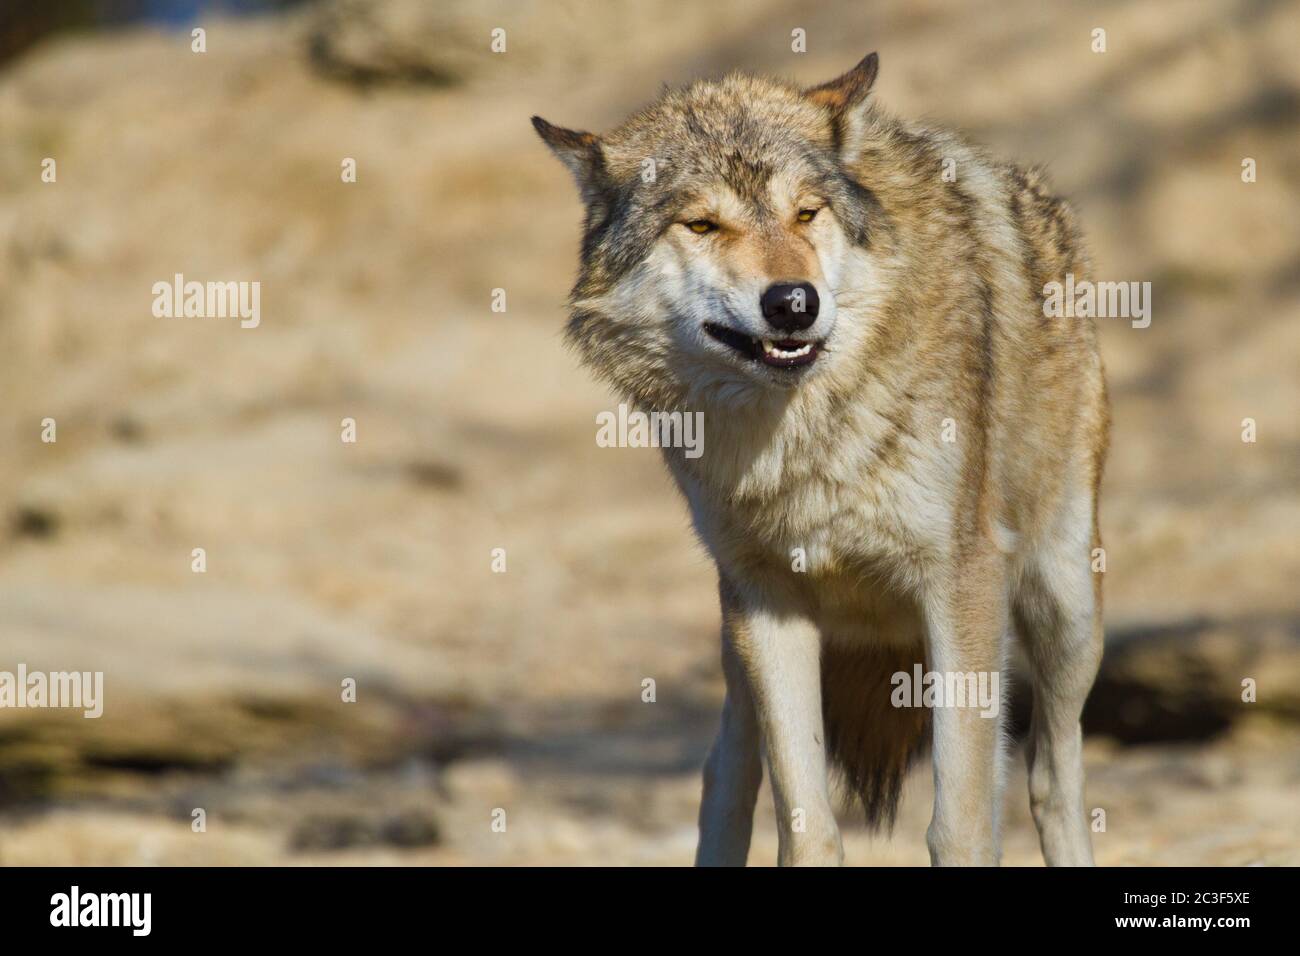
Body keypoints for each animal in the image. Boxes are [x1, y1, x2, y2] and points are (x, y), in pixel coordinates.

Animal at [533, 52, 1109, 866]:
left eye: (806, 214)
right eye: (702, 224)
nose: (794, 303)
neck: (805, 441)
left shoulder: (960, 583)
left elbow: (961, 824)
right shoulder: (768, 600)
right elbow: (805, 825)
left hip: (1064, 609)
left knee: (1051, 779)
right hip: (739, 645)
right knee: (723, 774)